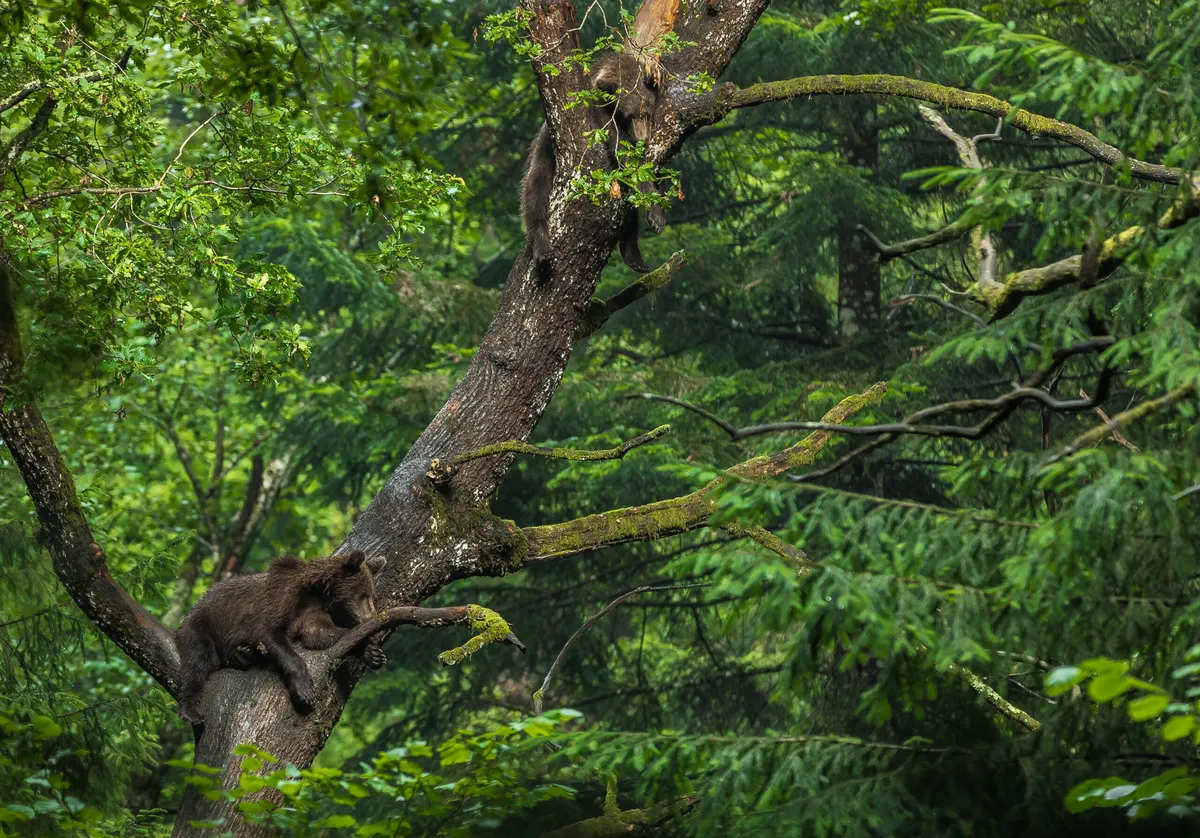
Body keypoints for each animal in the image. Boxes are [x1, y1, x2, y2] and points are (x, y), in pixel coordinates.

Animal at [174, 550, 388, 725]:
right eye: (365, 594)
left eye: (370, 593)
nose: (372, 616)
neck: (316, 591)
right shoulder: (280, 600)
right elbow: (272, 636)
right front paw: (305, 691)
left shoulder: (311, 611)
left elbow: (322, 634)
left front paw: (372, 652)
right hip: (202, 626)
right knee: (197, 663)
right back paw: (191, 712)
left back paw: (243, 654)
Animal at [521, 49, 666, 274]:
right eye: (629, 115)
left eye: (646, 112)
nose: (642, 140)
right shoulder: (600, 114)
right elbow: (624, 155)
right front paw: (657, 215)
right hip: (543, 157)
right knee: (534, 193)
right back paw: (542, 248)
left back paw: (636, 258)